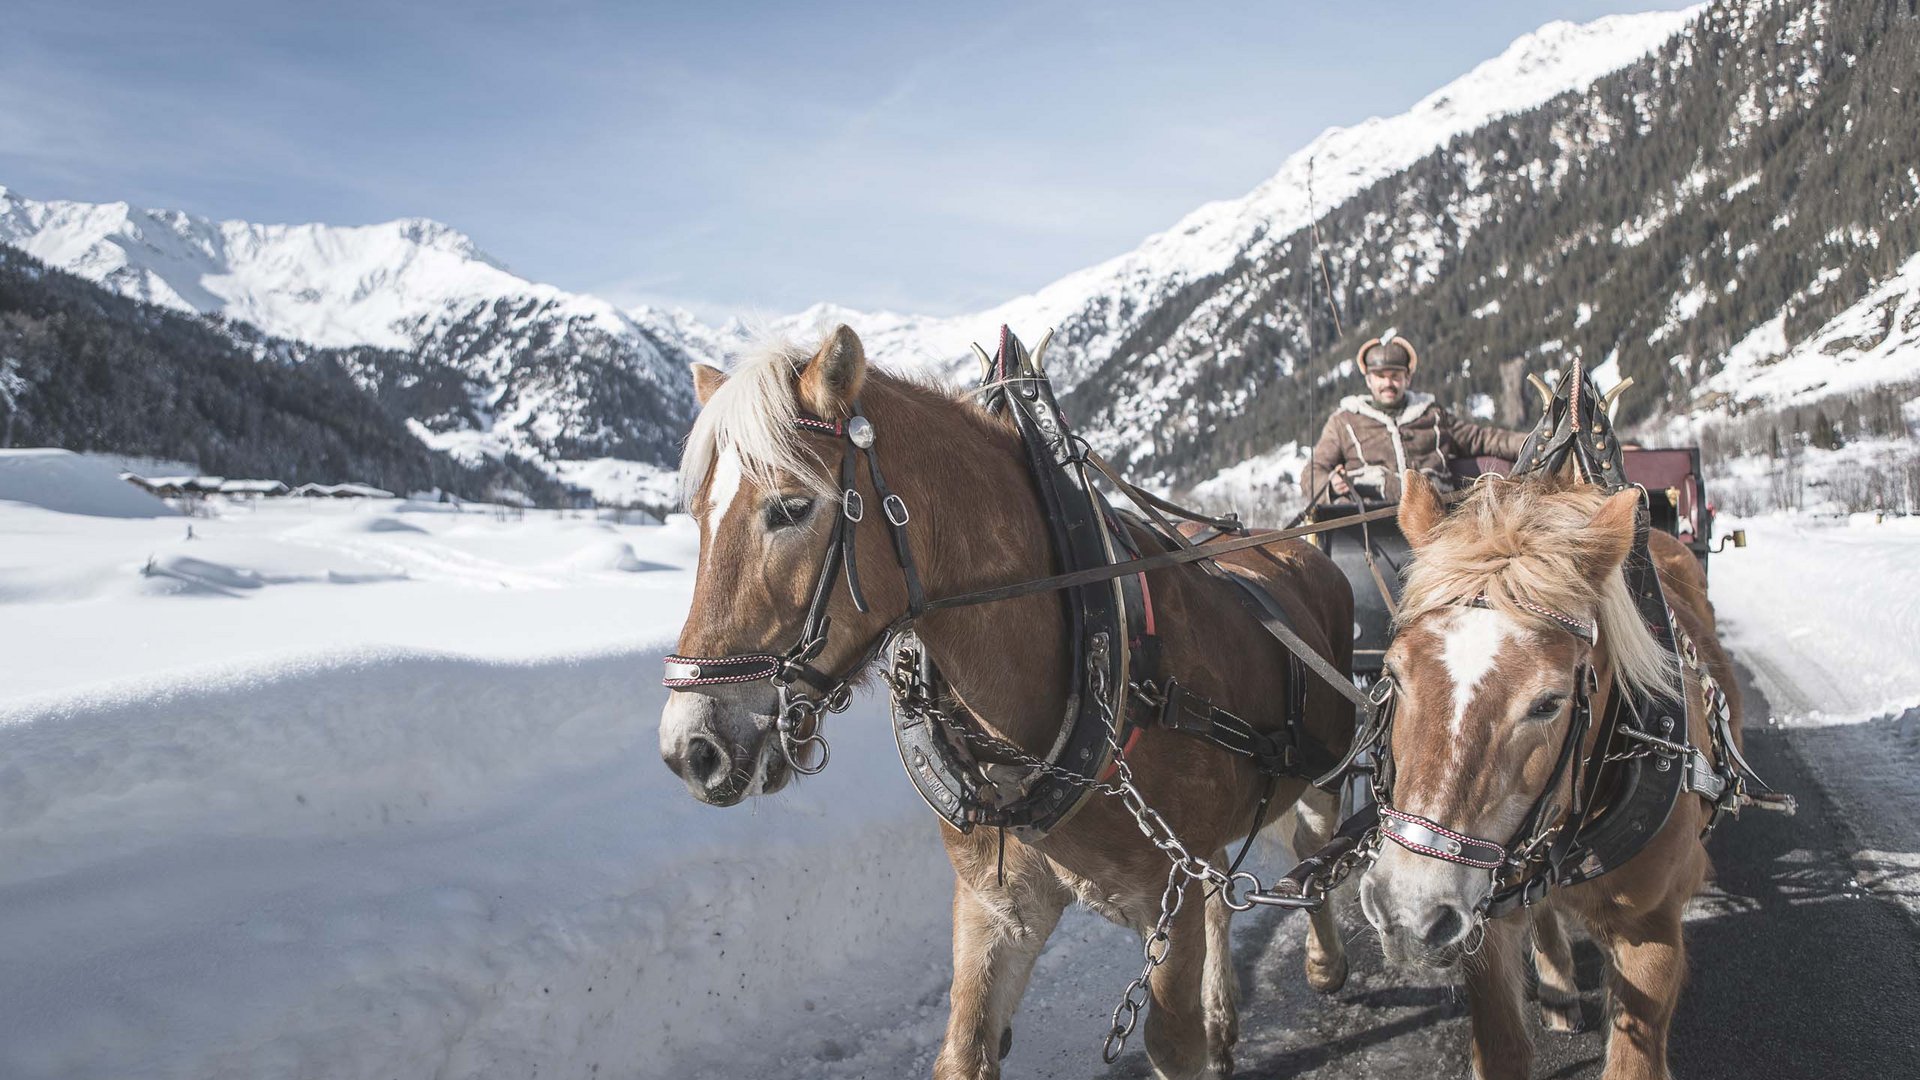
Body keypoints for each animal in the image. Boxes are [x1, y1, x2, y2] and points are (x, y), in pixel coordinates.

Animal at [668, 326, 1359, 1076]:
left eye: (790, 507)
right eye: (698, 517)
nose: (690, 748)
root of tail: (1300, 549)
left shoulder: (1165, 909)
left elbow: (1172, 1042)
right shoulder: (995, 906)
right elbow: (965, 1049)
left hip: (1324, 775)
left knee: (1313, 853)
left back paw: (1325, 962)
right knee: (1224, 893)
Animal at [1359, 470, 1751, 1076]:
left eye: (1548, 703)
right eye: (1394, 675)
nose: (1408, 910)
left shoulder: (1652, 932)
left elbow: (1634, 1056)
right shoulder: (1485, 919)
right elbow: (1502, 1047)